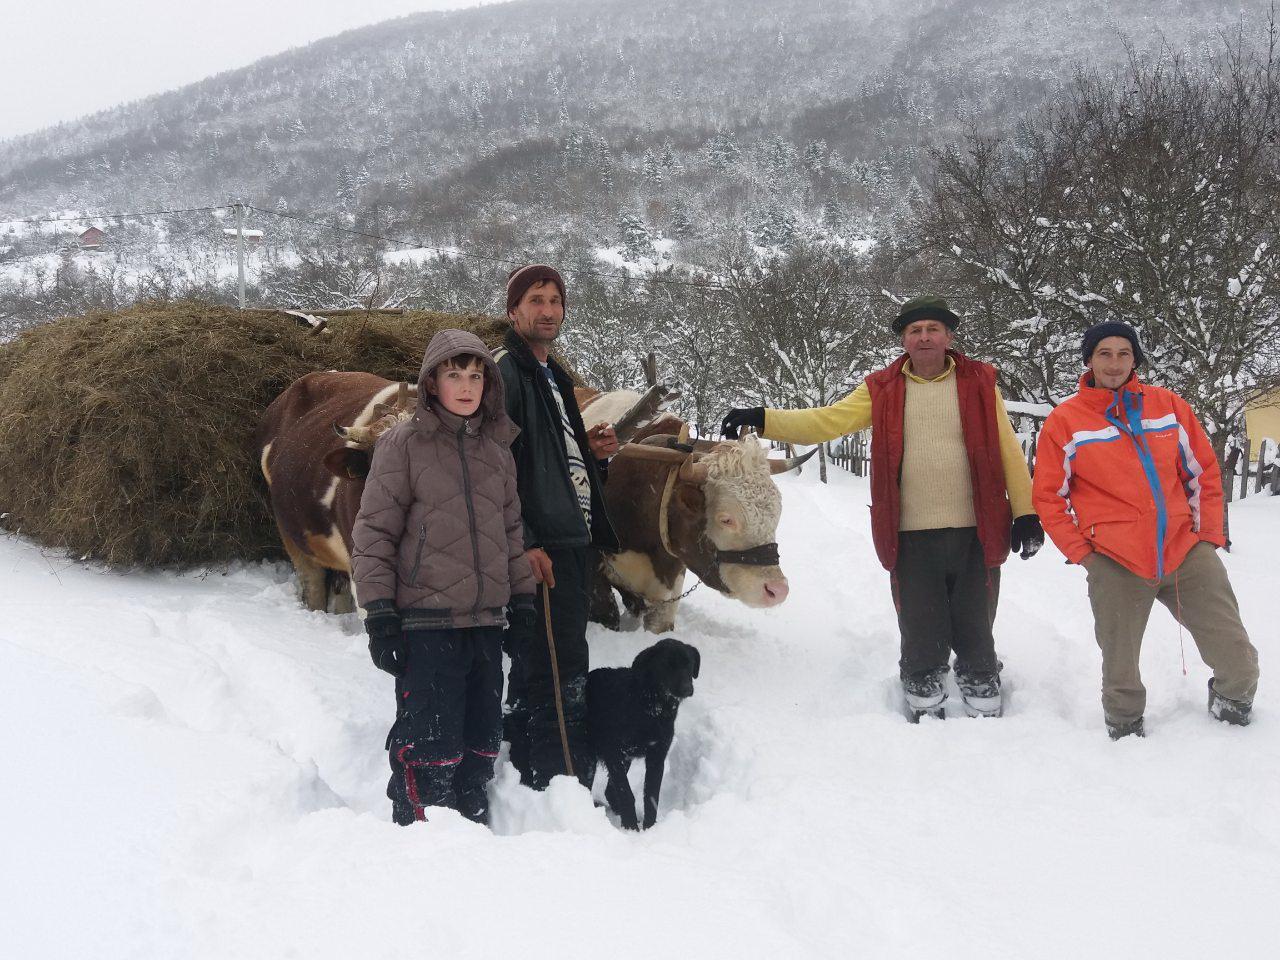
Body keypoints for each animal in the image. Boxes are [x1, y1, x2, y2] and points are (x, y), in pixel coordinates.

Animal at [586, 634, 701, 829]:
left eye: (689, 664)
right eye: (667, 665)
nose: (687, 689)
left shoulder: (656, 756)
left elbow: (651, 796)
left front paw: (650, 827)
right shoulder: (613, 752)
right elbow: (626, 793)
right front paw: (631, 826)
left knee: (609, 790)